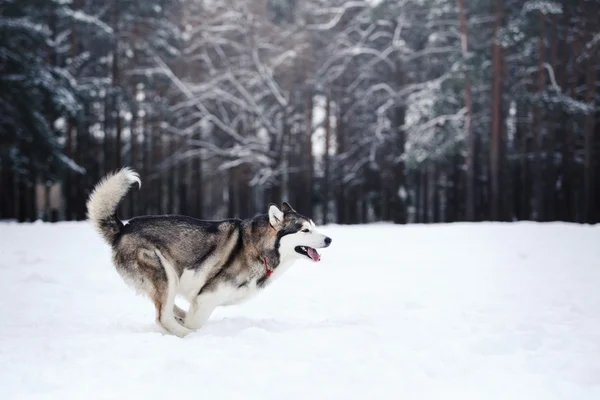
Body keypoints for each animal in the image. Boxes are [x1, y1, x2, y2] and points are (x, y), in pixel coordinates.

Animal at [86, 167, 332, 336]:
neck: (259, 249)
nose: (329, 239)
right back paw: (187, 334)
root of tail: (124, 228)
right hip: (165, 273)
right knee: (163, 317)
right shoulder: (207, 297)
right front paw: (192, 329)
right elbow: (196, 320)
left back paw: (180, 317)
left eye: (314, 226)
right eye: (305, 230)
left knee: (166, 309)